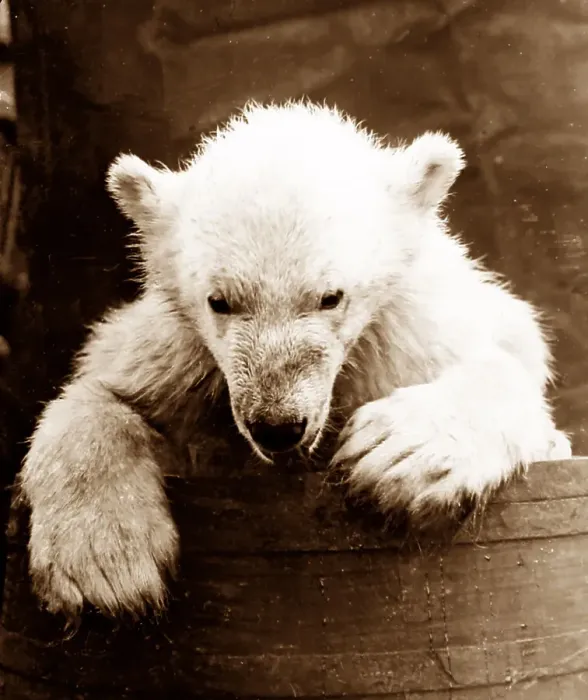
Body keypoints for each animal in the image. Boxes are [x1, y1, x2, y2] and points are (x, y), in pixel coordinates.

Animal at [18, 100, 571, 618]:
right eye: (219, 300)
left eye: (331, 297)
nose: (277, 425)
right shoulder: (177, 356)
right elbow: (102, 391)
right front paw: (101, 561)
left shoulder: (413, 333)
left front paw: (400, 450)